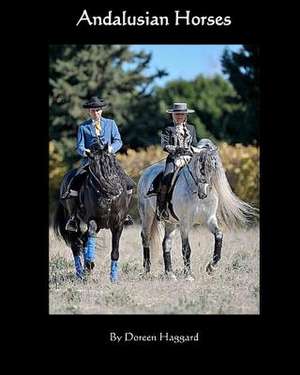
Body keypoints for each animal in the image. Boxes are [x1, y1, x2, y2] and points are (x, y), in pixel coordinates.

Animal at [53, 140, 132, 282]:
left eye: (113, 162)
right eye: (95, 168)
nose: (115, 191)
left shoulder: (118, 224)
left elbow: (115, 251)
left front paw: (113, 278)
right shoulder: (92, 221)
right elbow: (90, 235)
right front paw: (90, 263)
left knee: (84, 242)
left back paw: (85, 271)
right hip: (74, 224)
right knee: (76, 246)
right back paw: (81, 273)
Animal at [138, 140, 258, 280]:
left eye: (214, 167)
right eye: (200, 168)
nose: (203, 193)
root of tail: (146, 173)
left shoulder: (209, 220)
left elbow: (219, 236)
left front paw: (211, 267)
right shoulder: (185, 224)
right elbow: (186, 249)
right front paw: (189, 275)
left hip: (170, 223)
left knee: (166, 243)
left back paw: (170, 274)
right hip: (147, 216)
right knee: (146, 239)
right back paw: (147, 271)